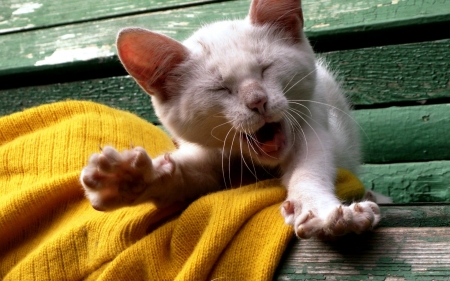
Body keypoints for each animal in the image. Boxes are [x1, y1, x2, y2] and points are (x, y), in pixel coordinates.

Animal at [80, 0, 380, 237]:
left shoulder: (314, 123)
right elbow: (185, 175)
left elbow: (310, 170)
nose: (257, 101)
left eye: (265, 69)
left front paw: (321, 212)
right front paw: (128, 177)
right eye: (220, 88)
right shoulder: (208, 154)